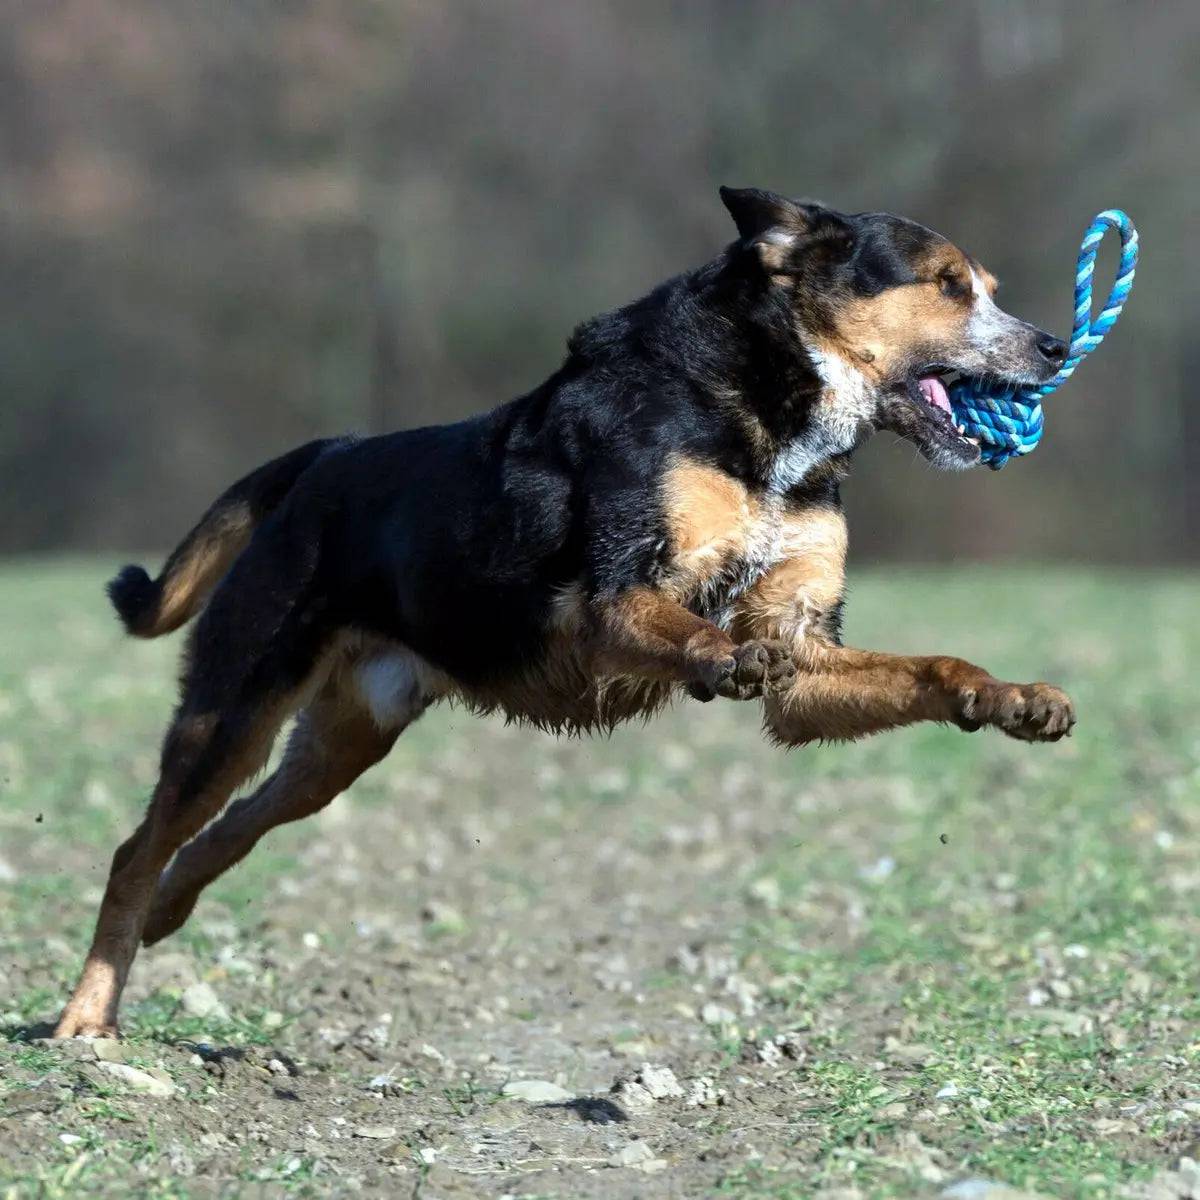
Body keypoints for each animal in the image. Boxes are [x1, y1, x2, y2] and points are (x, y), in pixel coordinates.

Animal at [54, 189, 1080, 1041]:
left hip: (348, 736)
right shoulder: (605, 604)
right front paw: (719, 659)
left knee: (232, 826)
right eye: (947, 285)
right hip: (234, 704)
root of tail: (325, 456)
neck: (768, 419)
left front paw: (1014, 699)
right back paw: (87, 1020)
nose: (1054, 347)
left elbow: (930, 669)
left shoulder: (802, 644)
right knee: (138, 848)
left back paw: (172, 913)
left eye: (989, 289)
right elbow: (691, 628)